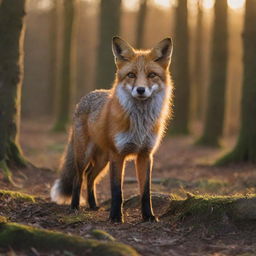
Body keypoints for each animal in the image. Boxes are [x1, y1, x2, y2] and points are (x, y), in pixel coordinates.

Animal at [50, 36, 173, 222]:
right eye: (131, 75)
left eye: (152, 75)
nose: (141, 90)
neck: (139, 122)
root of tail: (87, 96)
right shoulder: (118, 154)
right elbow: (117, 191)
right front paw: (115, 217)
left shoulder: (145, 154)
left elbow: (146, 191)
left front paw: (149, 216)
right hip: (85, 155)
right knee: (79, 178)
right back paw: (75, 206)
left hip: (103, 160)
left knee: (90, 177)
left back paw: (93, 205)